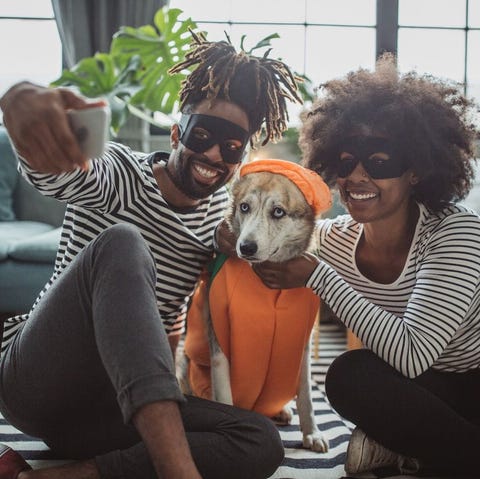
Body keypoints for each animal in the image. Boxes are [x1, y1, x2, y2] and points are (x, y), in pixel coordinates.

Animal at [178, 158, 332, 454]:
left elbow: (307, 394)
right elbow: (225, 396)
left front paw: (313, 433)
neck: (267, 286)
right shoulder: (220, 346)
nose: (246, 247)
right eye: (244, 207)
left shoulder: (303, 343)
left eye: (278, 212)